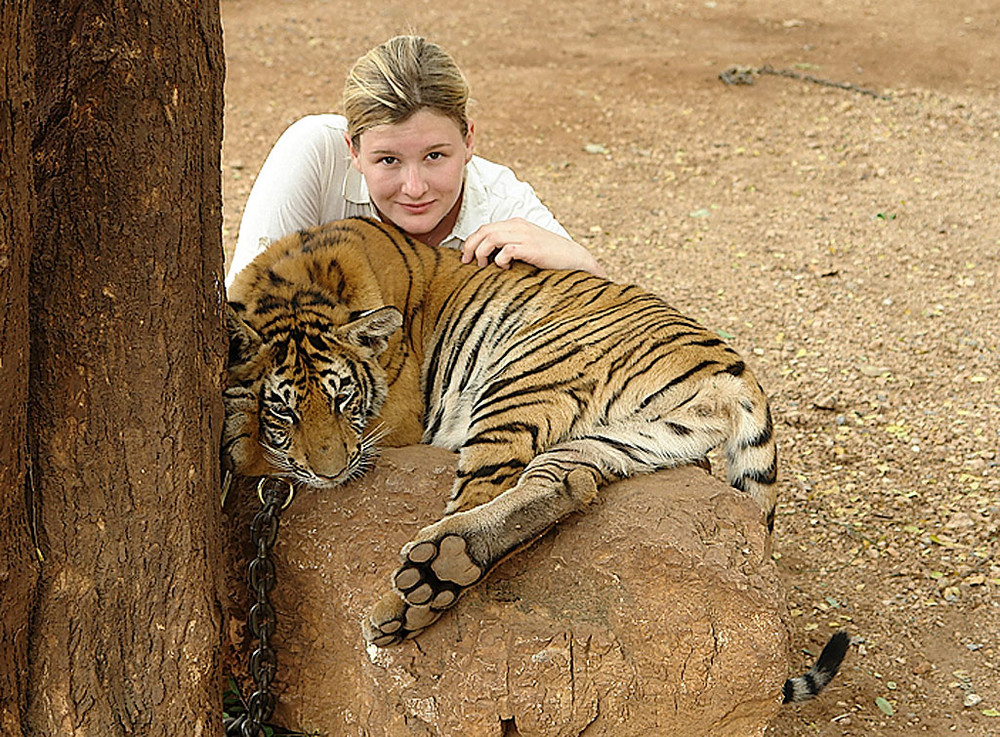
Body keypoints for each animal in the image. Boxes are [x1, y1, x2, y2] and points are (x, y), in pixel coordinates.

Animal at [223, 214, 848, 700]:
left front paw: (239, 435)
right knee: (565, 485)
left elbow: (254, 455)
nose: (330, 474)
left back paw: (418, 592)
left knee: (475, 494)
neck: (297, 286)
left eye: (343, 398)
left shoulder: (393, 422)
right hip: (627, 436)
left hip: (521, 377)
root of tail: (734, 366)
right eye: (284, 408)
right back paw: (449, 565)